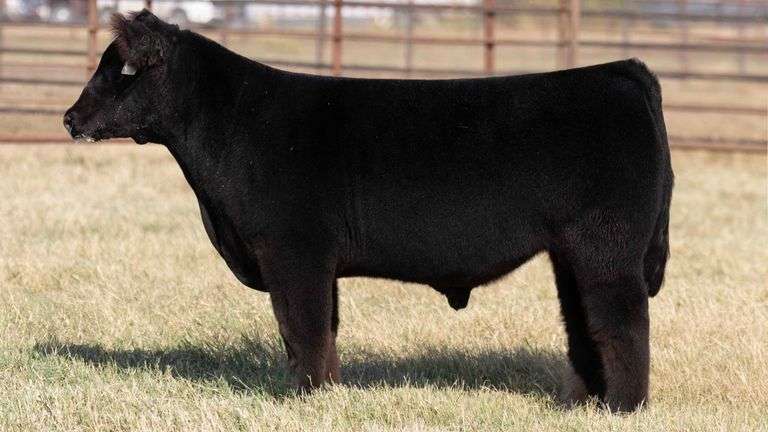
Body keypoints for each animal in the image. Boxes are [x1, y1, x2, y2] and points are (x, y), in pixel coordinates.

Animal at [63, 10, 673, 412]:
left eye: (123, 72)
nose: (70, 118)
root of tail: (616, 71)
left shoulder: (294, 249)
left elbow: (302, 325)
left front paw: (304, 396)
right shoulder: (311, 257)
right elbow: (323, 327)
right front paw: (328, 391)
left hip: (608, 247)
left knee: (623, 324)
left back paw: (624, 407)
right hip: (572, 252)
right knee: (584, 323)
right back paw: (584, 403)